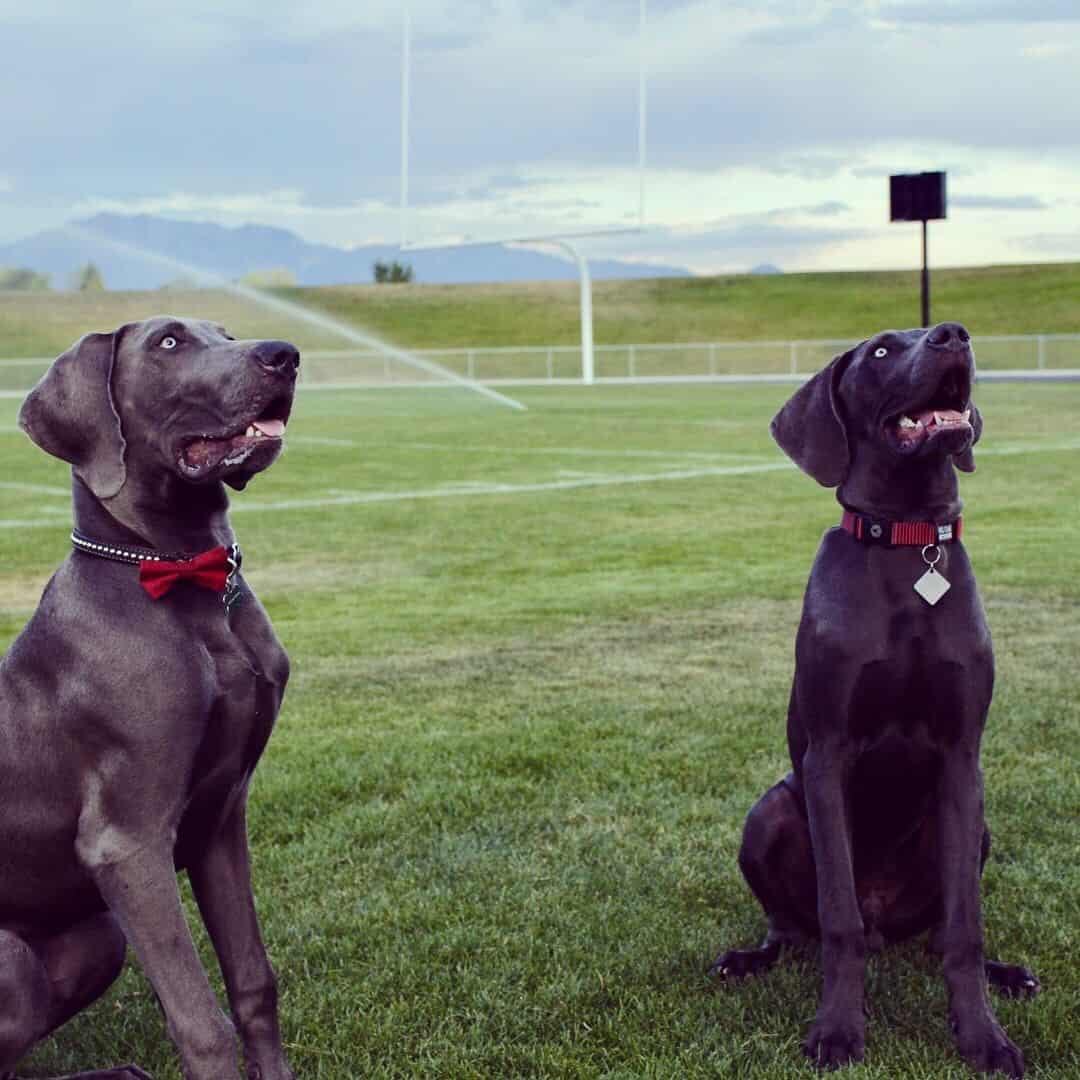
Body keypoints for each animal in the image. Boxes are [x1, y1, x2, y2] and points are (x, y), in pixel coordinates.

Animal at [4, 317, 302, 1080]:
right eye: (169, 343)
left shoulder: (221, 815)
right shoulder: (129, 843)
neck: (182, 574)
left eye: (225, 331)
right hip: (18, 953)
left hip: (96, 937)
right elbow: (201, 1024)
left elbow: (253, 983)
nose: (285, 355)